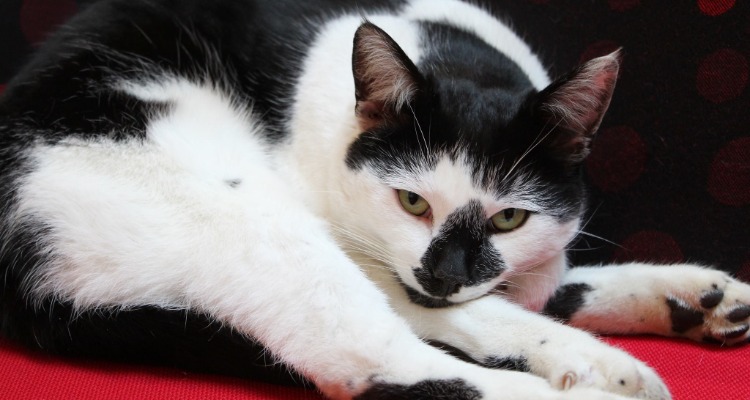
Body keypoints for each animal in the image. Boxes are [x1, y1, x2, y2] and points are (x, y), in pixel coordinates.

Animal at [1, 0, 750, 398]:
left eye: (510, 217)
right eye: (412, 202)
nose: (441, 272)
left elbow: (544, 289)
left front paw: (692, 299)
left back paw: (671, 316)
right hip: (245, 215)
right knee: (380, 362)